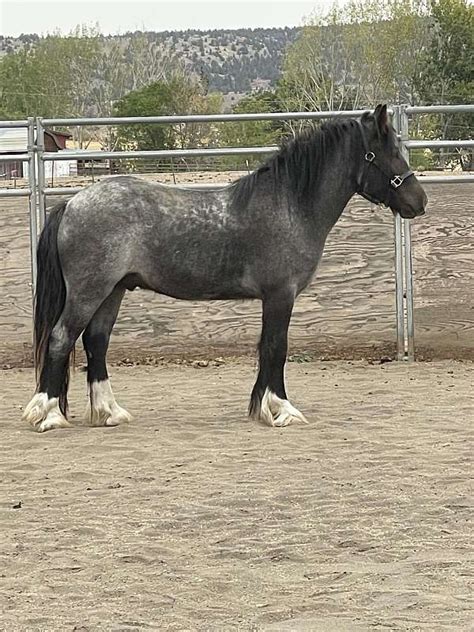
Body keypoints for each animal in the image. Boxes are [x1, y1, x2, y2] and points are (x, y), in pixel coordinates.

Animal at [24, 106, 428, 434]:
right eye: (388, 152)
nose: (420, 202)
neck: (289, 205)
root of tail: (72, 203)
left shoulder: (274, 298)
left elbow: (266, 348)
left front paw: (261, 408)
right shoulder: (280, 295)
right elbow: (276, 347)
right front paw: (281, 409)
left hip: (114, 290)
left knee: (96, 342)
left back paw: (109, 412)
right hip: (89, 291)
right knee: (61, 338)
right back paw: (47, 414)